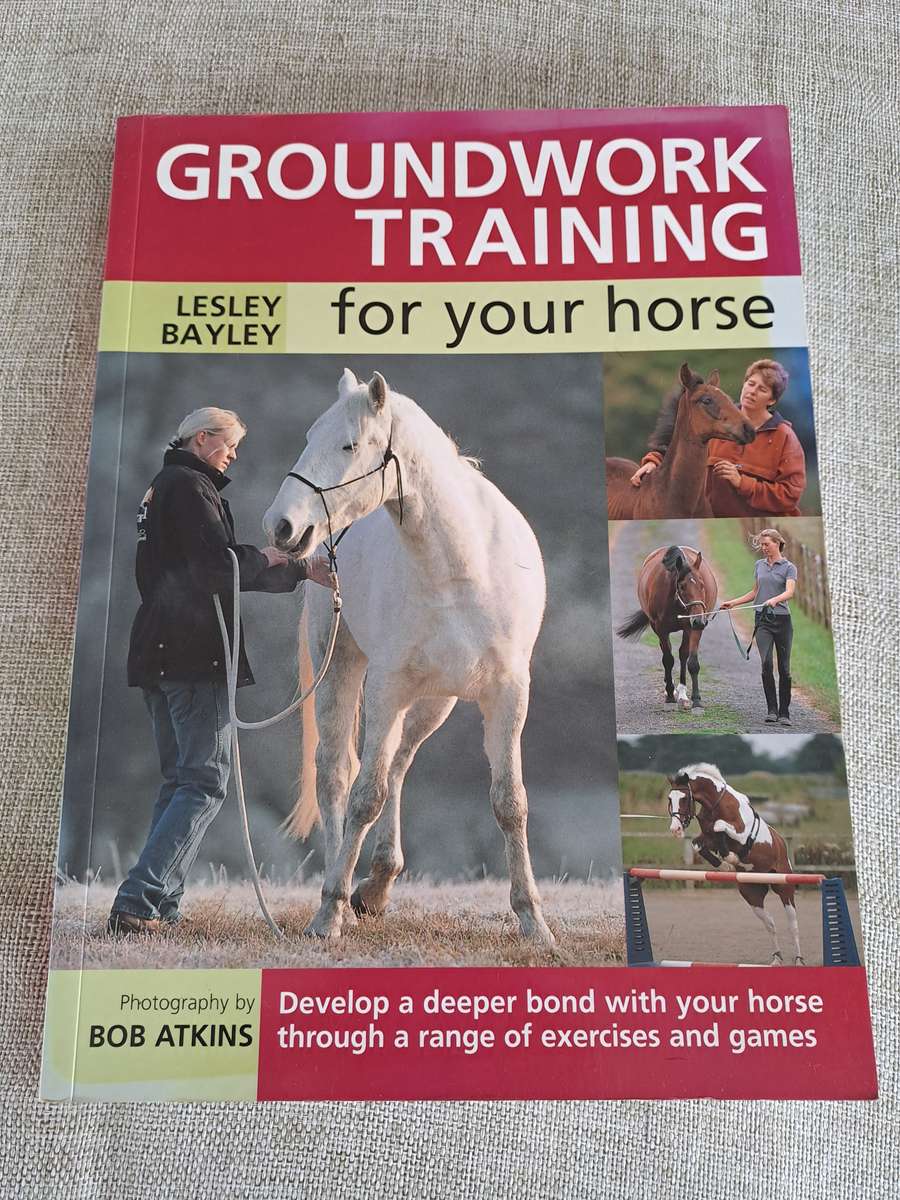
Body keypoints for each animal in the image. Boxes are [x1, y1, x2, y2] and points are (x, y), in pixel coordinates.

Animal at [262, 368, 554, 944]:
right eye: (309, 437)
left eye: (350, 444)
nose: (281, 526)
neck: (464, 567)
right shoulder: (387, 687)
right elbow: (364, 796)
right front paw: (329, 911)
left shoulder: (508, 694)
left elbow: (510, 803)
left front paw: (533, 920)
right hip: (344, 669)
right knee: (337, 773)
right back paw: (345, 891)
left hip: (434, 701)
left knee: (397, 763)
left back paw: (377, 883)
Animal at [616, 545, 717, 710]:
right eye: (682, 586)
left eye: (702, 585)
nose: (699, 620)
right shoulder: (661, 629)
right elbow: (668, 660)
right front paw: (669, 694)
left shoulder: (692, 629)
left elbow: (692, 662)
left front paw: (696, 699)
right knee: (667, 653)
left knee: (683, 655)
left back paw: (682, 693)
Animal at [666, 762, 805, 964]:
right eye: (670, 798)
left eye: (684, 799)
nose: (675, 829)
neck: (716, 804)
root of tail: (782, 844)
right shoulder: (707, 837)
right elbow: (698, 844)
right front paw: (725, 864)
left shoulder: (740, 833)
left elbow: (720, 827)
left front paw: (731, 858)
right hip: (752, 895)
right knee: (770, 923)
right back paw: (777, 959)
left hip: (784, 888)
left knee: (792, 924)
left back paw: (799, 959)